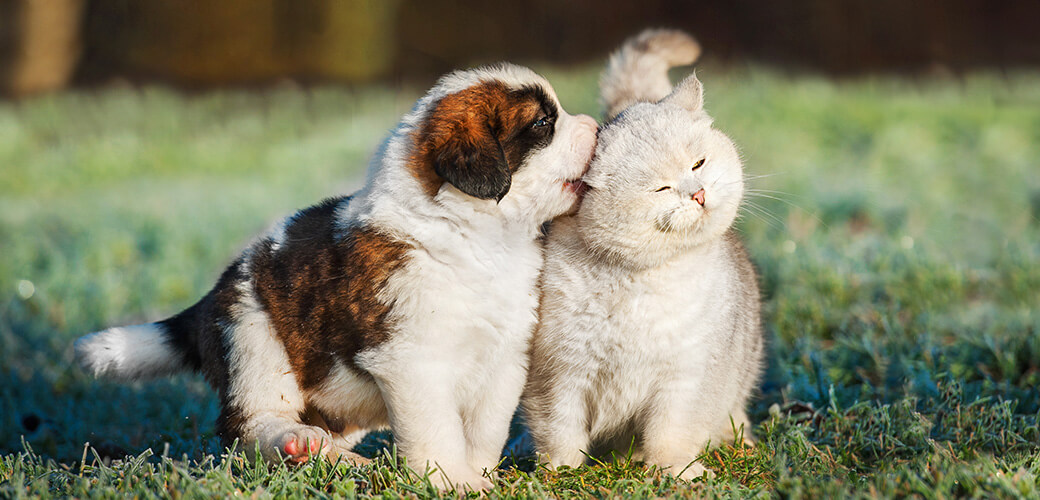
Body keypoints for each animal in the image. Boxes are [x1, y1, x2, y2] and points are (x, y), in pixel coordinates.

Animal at [73, 64, 599, 488]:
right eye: (543, 123)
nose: (596, 125)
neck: (475, 237)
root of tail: (209, 298)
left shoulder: (504, 355)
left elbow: (483, 429)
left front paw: (480, 474)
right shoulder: (412, 360)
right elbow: (437, 430)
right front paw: (454, 481)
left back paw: (333, 458)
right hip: (254, 337)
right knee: (248, 427)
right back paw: (302, 444)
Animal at [524, 28, 761, 480]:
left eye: (698, 163)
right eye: (661, 188)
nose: (698, 193)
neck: (640, 280)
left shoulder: (686, 380)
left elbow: (672, 435)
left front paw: (676, 472)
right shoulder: (558, 377)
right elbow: (559, 433)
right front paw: (560, 473)